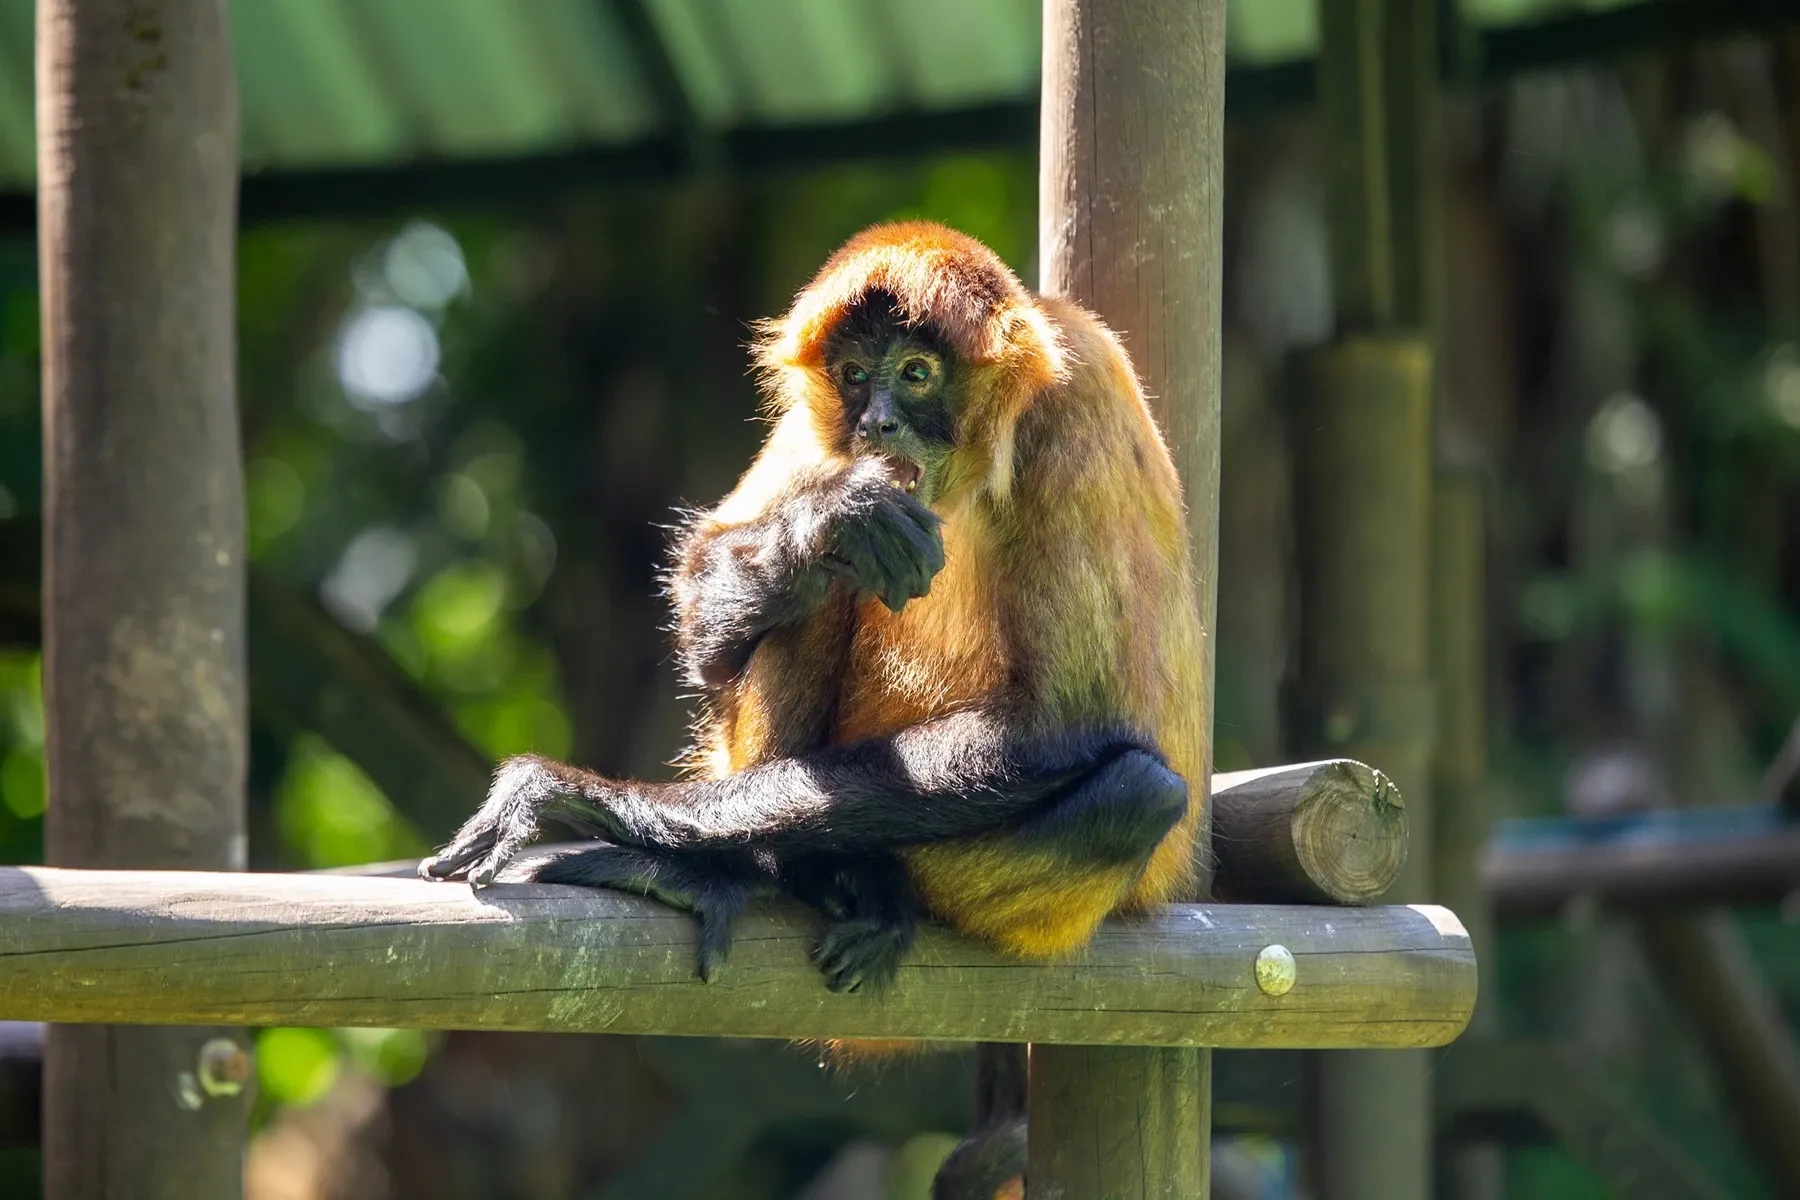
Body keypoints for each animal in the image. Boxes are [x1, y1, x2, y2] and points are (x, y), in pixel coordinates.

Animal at [419, 220, 1210, 1005]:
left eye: (916, 373)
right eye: (855, 376)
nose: (879, 424)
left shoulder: (1073, 399)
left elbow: (1065, 721)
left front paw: (589, 800)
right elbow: (708, 603)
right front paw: (829, 522)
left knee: (1138, 794)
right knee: (815, 594)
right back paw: (773, 869)